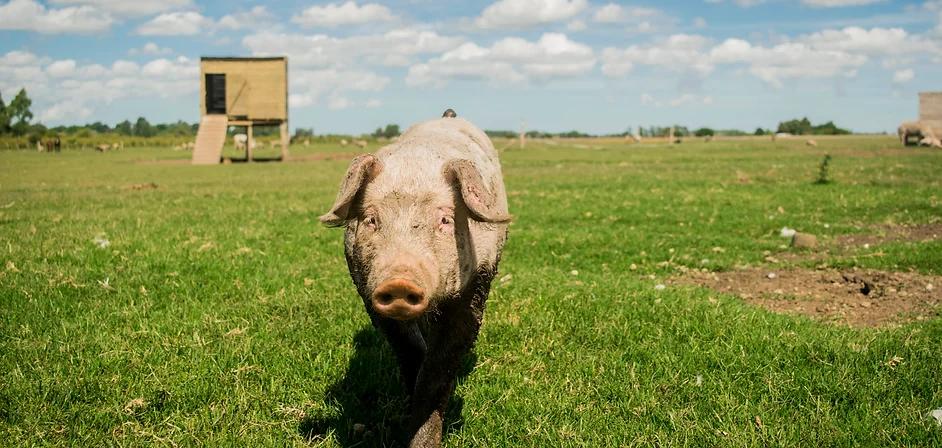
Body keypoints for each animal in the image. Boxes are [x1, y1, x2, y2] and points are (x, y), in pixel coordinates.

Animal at [320, 109, 508, 448]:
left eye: (445, 219)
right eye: (371, 219)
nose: (399, 281)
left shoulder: (475, 288)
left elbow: (438, 368)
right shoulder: (370, 297)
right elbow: (410, 352)